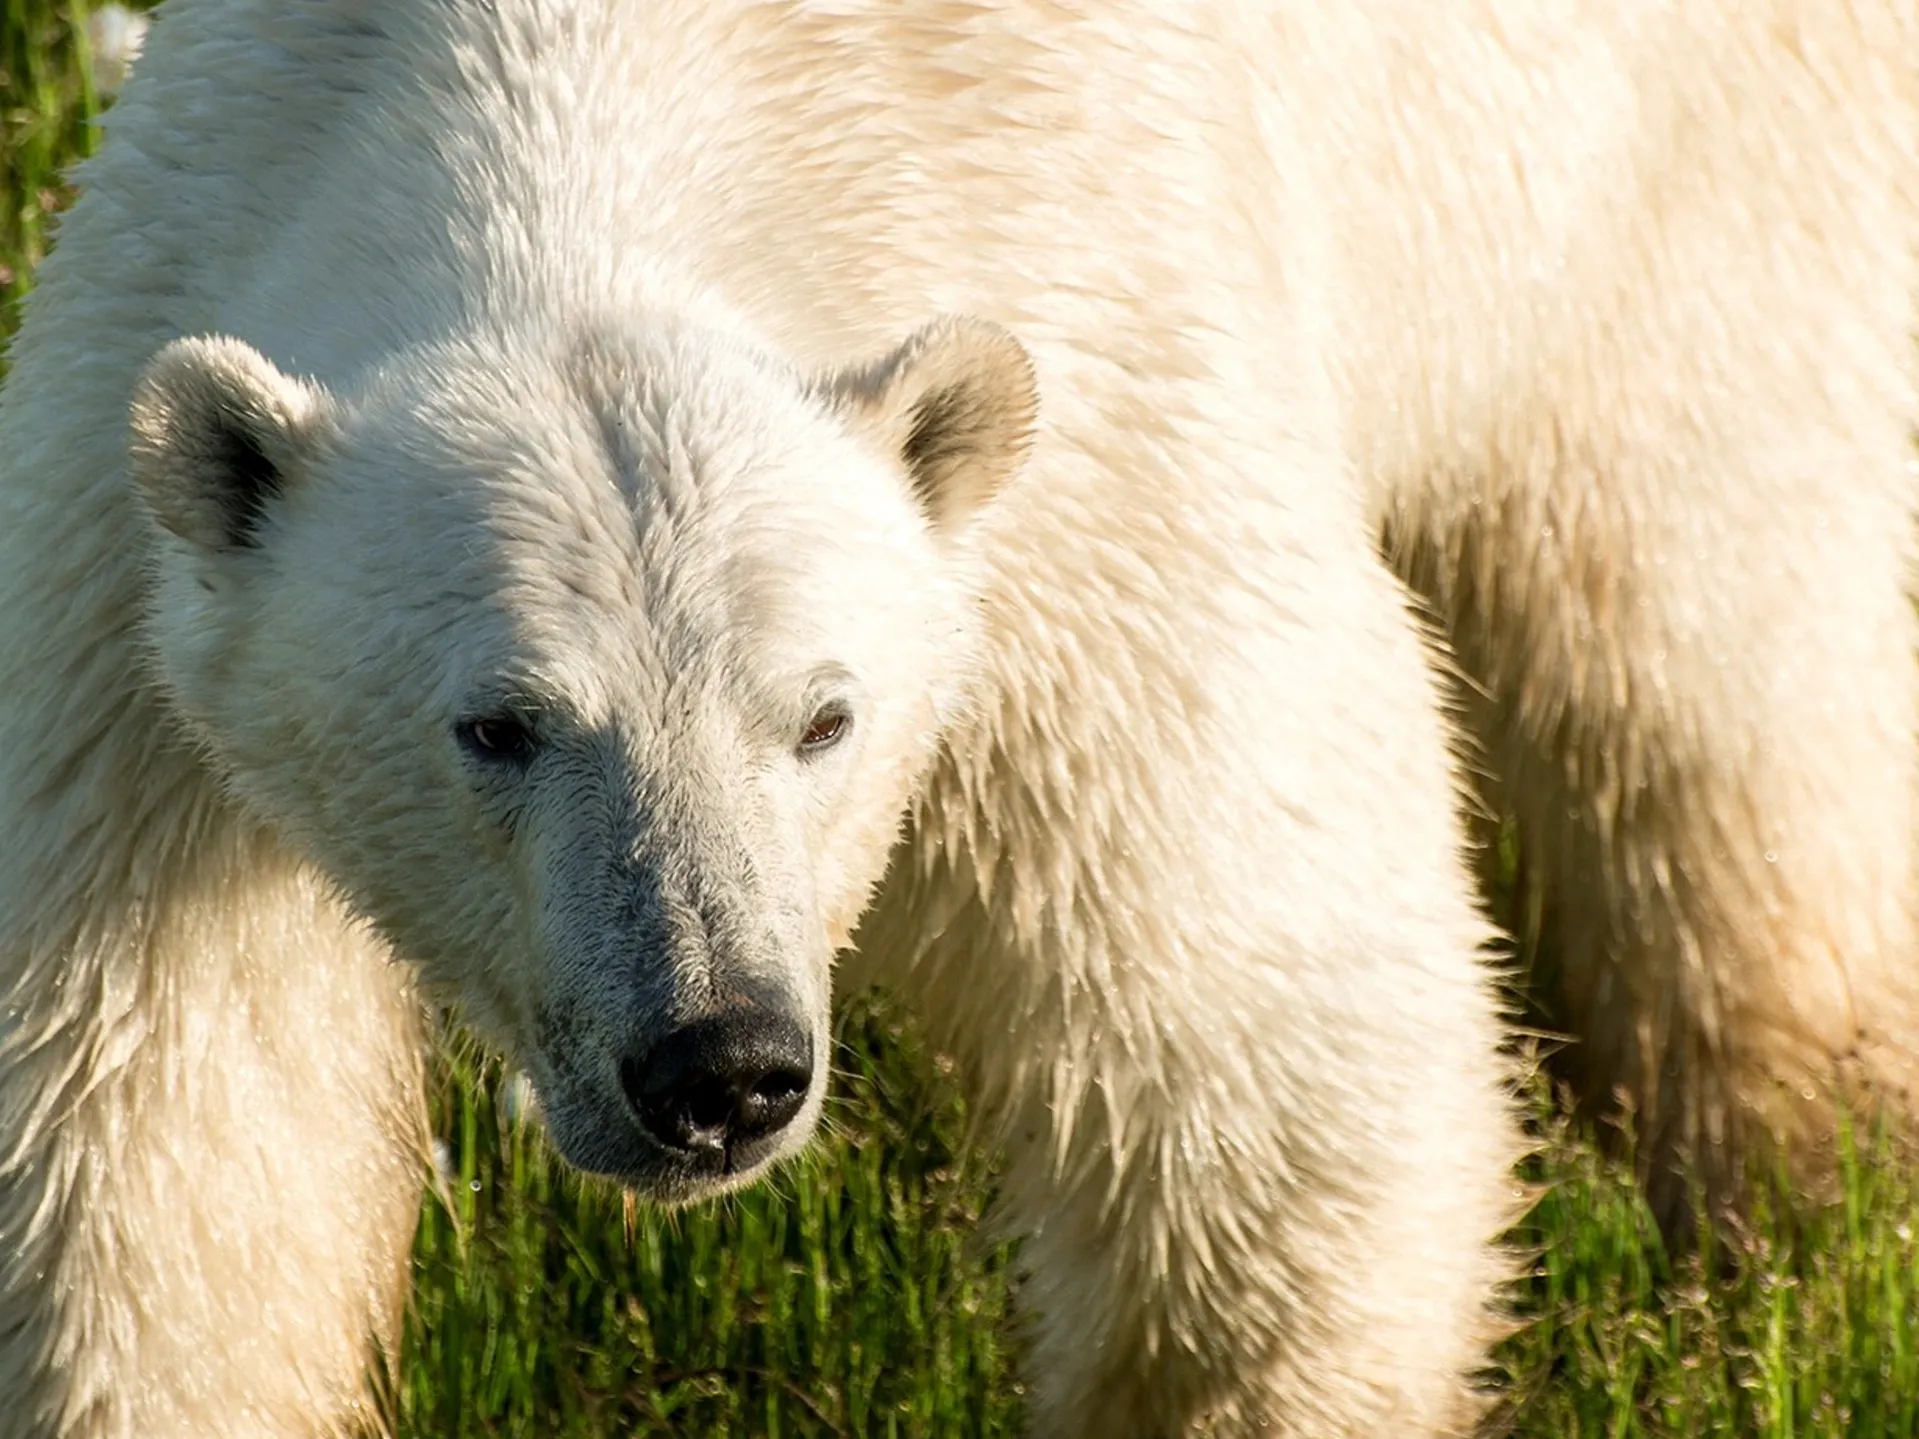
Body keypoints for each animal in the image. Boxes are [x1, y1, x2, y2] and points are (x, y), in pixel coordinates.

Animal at [0, 2, 1911, 1439]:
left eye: (821, 715)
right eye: (500, 725)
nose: (717, 1065)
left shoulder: (1097, 461)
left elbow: (1253, 1039)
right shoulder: (121, 549)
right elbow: (132, 1102)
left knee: (1696, 649)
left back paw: (1800, 1172)